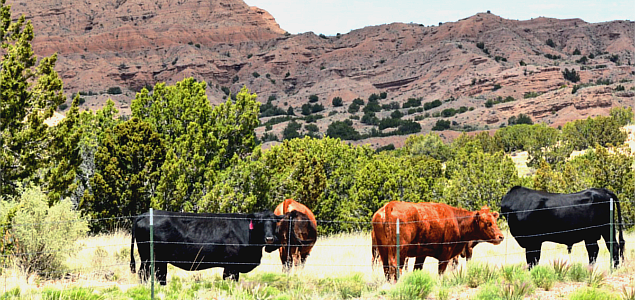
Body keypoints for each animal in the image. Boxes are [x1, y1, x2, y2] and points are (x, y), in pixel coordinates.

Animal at [130, 210, 282, 284]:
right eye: (259, 222)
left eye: (274, 222)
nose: (269, 239)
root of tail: (145, 214)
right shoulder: (232, 265)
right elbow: (230, 280)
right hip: (149, 258)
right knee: (145, 273)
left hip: (156, 260)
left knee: (157, 275)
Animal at [378, 202, 506, 282]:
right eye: (488, 223)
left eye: (495, 220)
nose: (500, 237)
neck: (456, 221)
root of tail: (390, 206)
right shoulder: (446, 253)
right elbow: (441, 271)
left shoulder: (421, 254)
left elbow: (417, 269)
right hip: (399, 250)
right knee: (395, 266)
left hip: (383, 250)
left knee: (386, 268)